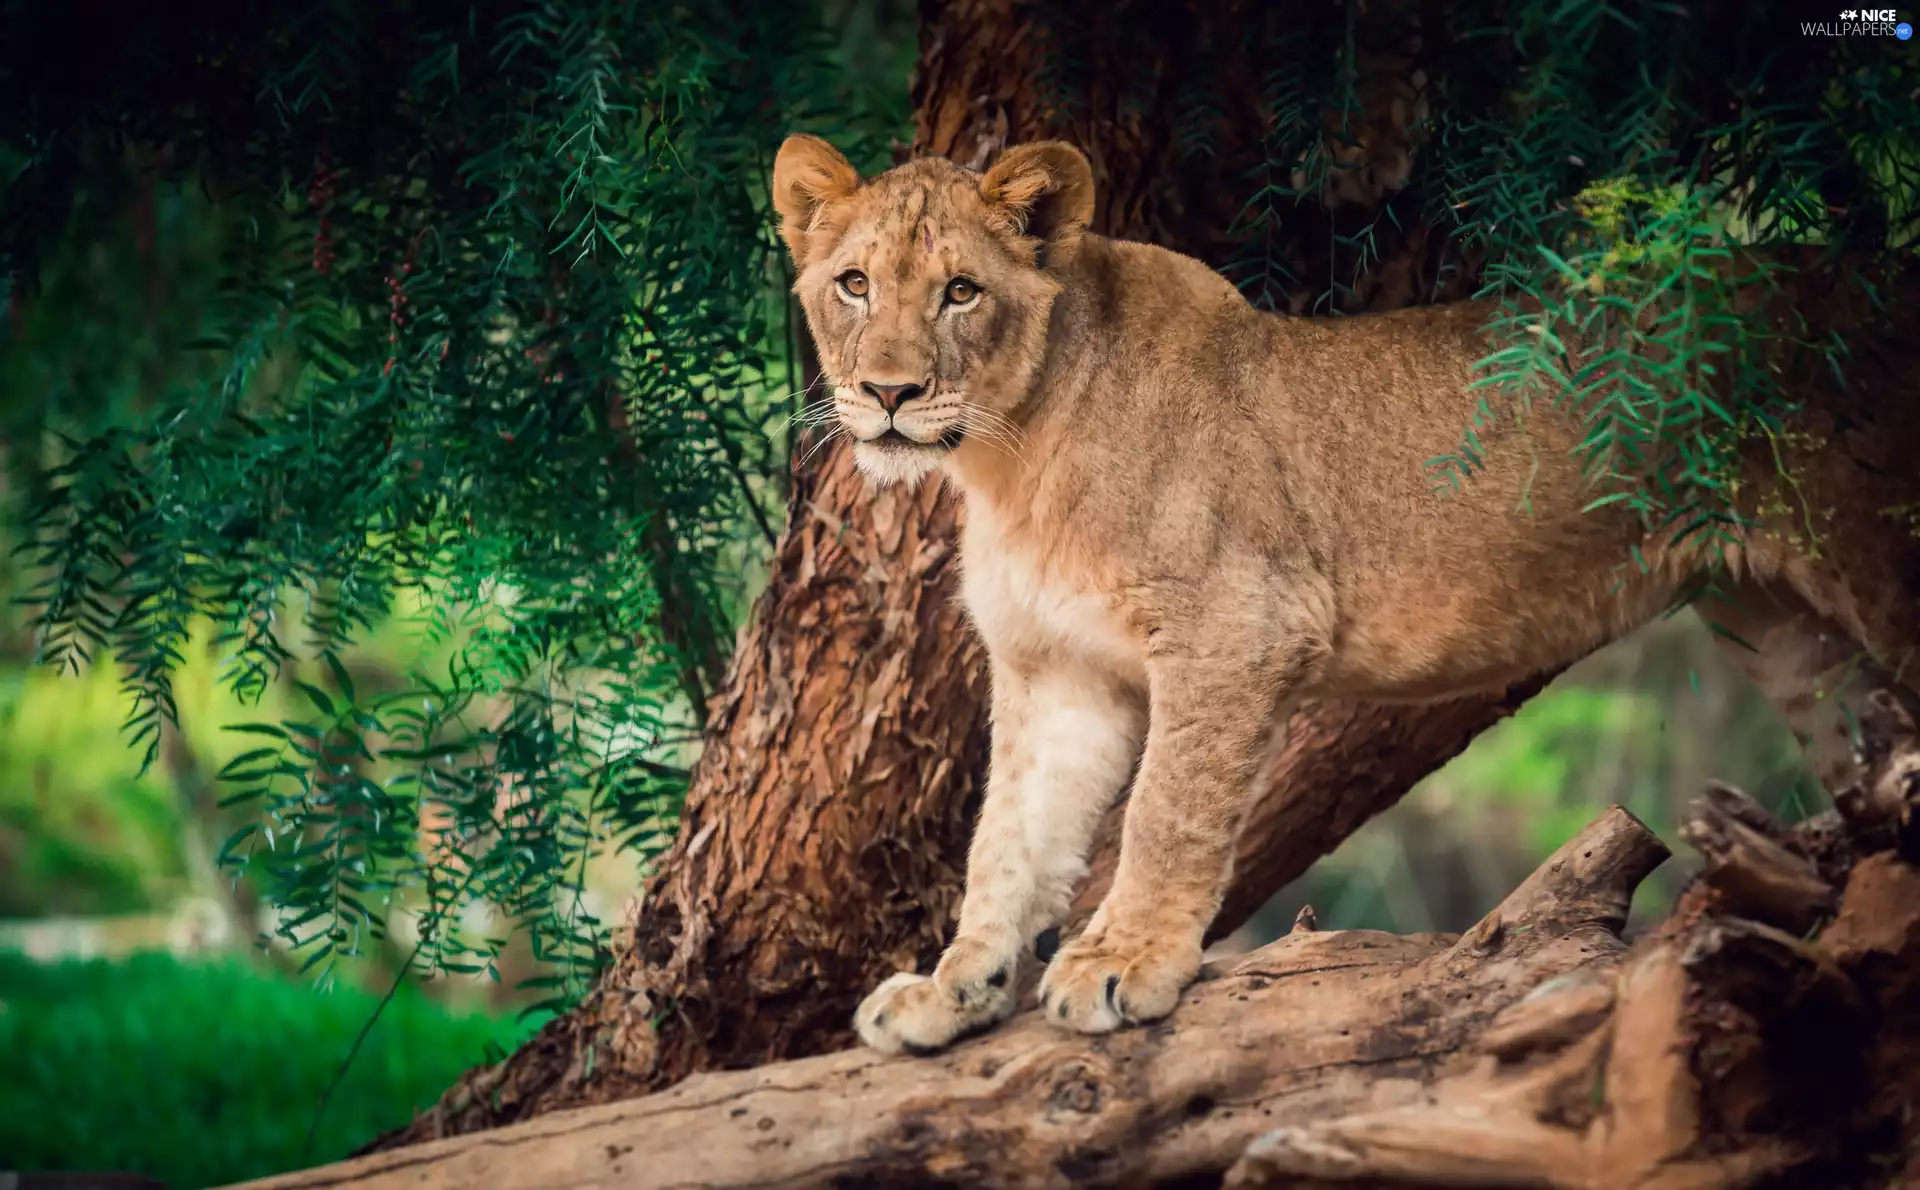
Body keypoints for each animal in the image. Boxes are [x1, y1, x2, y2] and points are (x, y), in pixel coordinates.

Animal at [769, 132, 1920, 1057]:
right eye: (855, 284)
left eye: (961, 291)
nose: (888, 393)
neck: (1008, 458)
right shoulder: (1058, 673)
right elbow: (1008, 841)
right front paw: (954, 989)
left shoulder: (1234, 625)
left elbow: (1168, 811)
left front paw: (1123, 959)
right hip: (1785, 629)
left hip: (1876, 552)